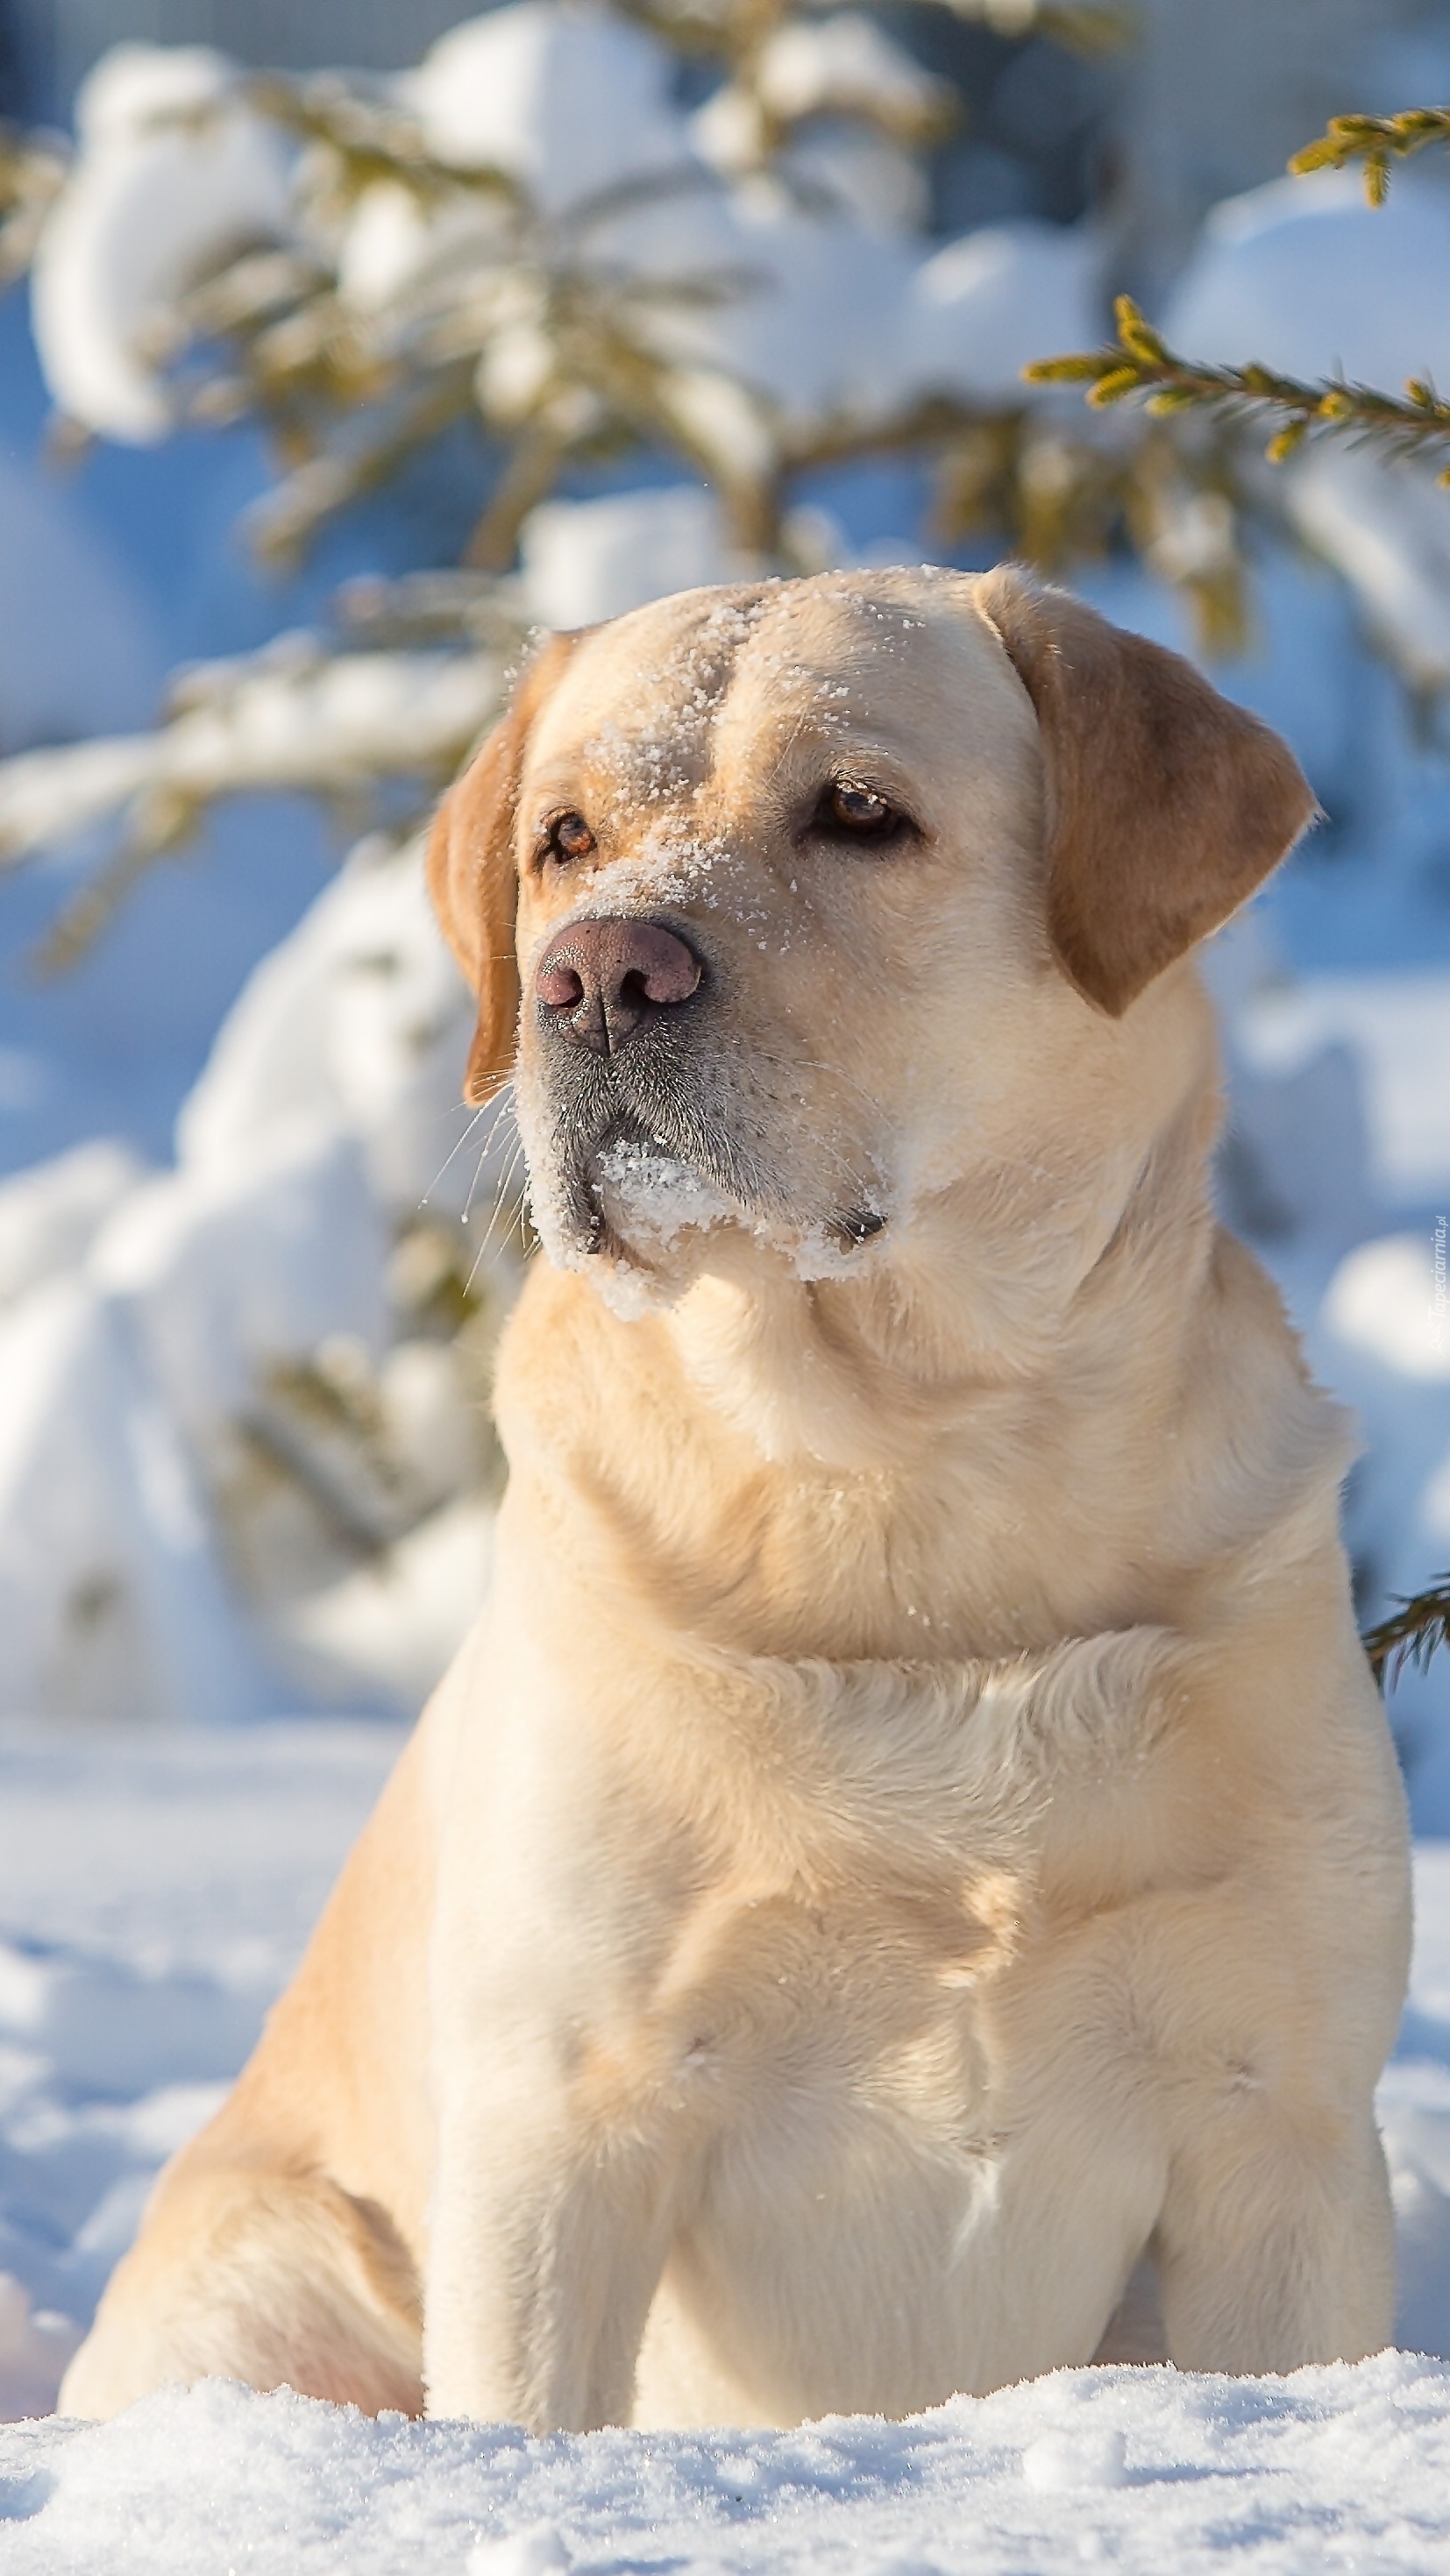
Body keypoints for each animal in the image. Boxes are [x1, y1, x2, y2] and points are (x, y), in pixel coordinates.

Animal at [62, 569, 1411, 2431]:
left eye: (857, 810)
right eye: (563, 838)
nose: (595, 973)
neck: (904, 1488)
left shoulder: (1274, 2117)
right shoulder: (562, 2122)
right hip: (275, 2266)